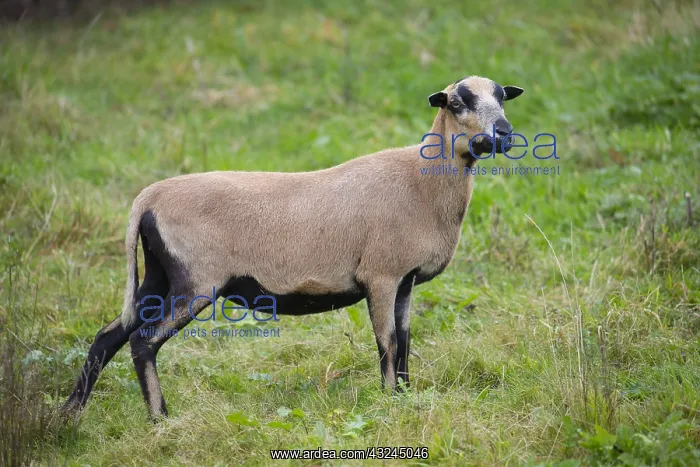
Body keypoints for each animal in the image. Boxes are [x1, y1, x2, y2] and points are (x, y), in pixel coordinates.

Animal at [62, 75, 523, 420]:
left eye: (502, 97)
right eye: (458, 102)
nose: (504, 134)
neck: (421, 182)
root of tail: (149, 198)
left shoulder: (405, 280)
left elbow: (406, 340)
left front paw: (408, 397)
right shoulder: (380, 275)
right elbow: (388, 343)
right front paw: (390, 401)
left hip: (159, 275)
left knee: (107, 336)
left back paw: (70, 414)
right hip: (195, 281)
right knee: (143, 342)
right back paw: (160, 418)